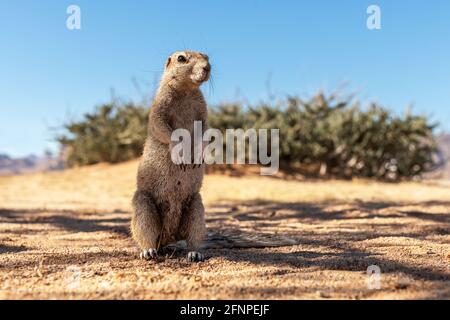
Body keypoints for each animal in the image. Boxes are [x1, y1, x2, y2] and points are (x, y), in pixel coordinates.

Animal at [130, 50, 211, 262]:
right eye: (181, 58)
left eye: (207, 57)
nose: (207, 68)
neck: (186, 91)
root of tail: (168, 236)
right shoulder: (160, 105)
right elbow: (161, 125)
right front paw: (181, 153)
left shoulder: (202, 109)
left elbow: (206, 129)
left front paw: (197, 155)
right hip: (144, 206)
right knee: (146, 234)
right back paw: (148, 251)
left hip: (196, 207)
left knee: (193, 237)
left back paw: (194, 253)